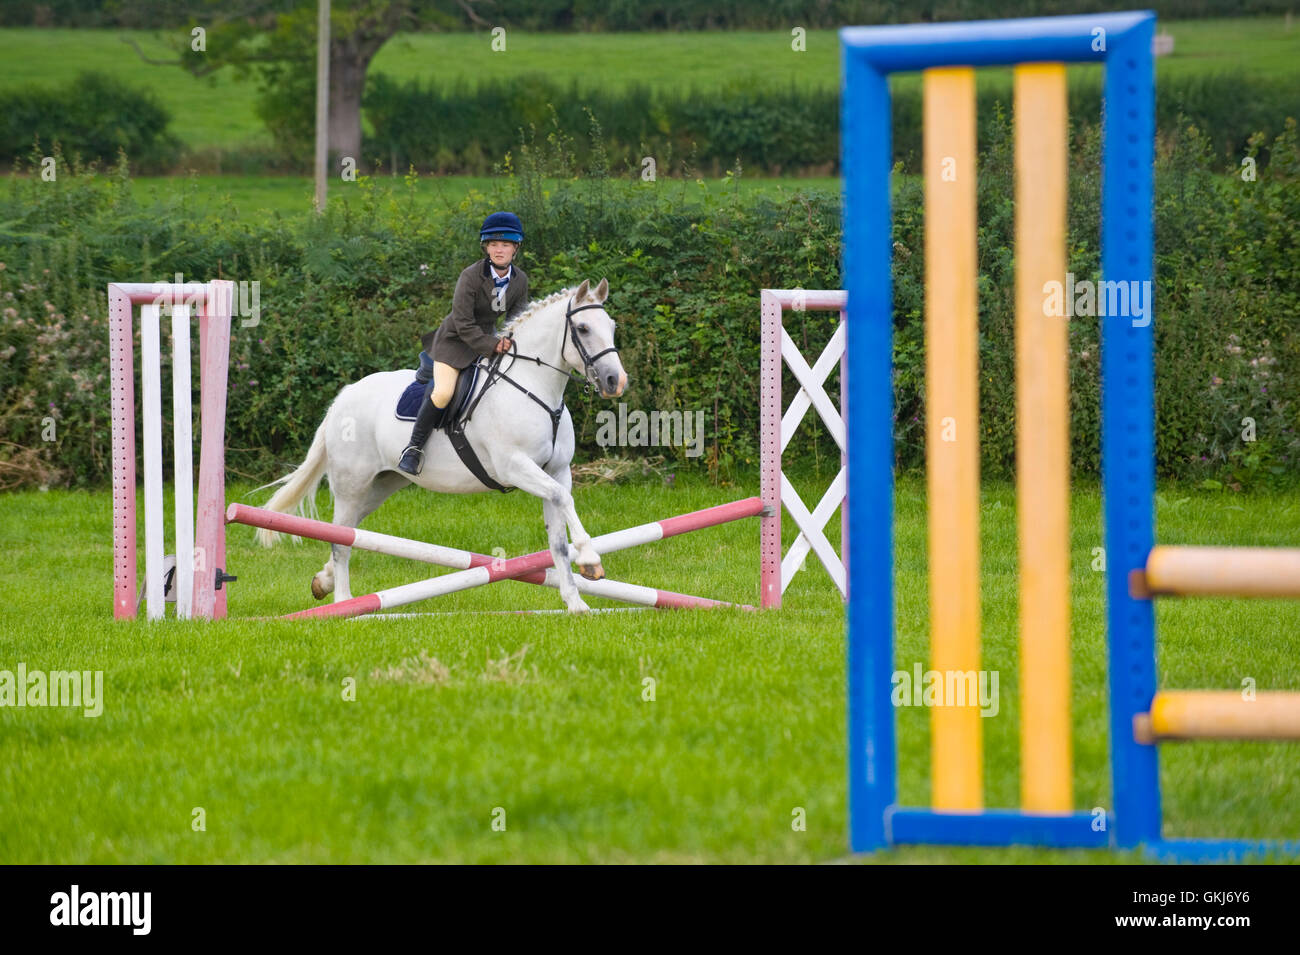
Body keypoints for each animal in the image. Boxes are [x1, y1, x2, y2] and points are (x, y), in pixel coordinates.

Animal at [254, 280, 629, 615]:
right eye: (582, 328)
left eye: (611, 327)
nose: (616, 381)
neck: (533, 388)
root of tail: (343, 398)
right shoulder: (515, 466)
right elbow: (564, 502)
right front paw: (591, 559)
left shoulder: (557, 472)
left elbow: (558, 539)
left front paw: (576, 603)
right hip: (351, 485)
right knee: (340, 540)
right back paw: (345, 602)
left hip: (381, 485)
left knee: (350, 529)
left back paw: (324, 583)